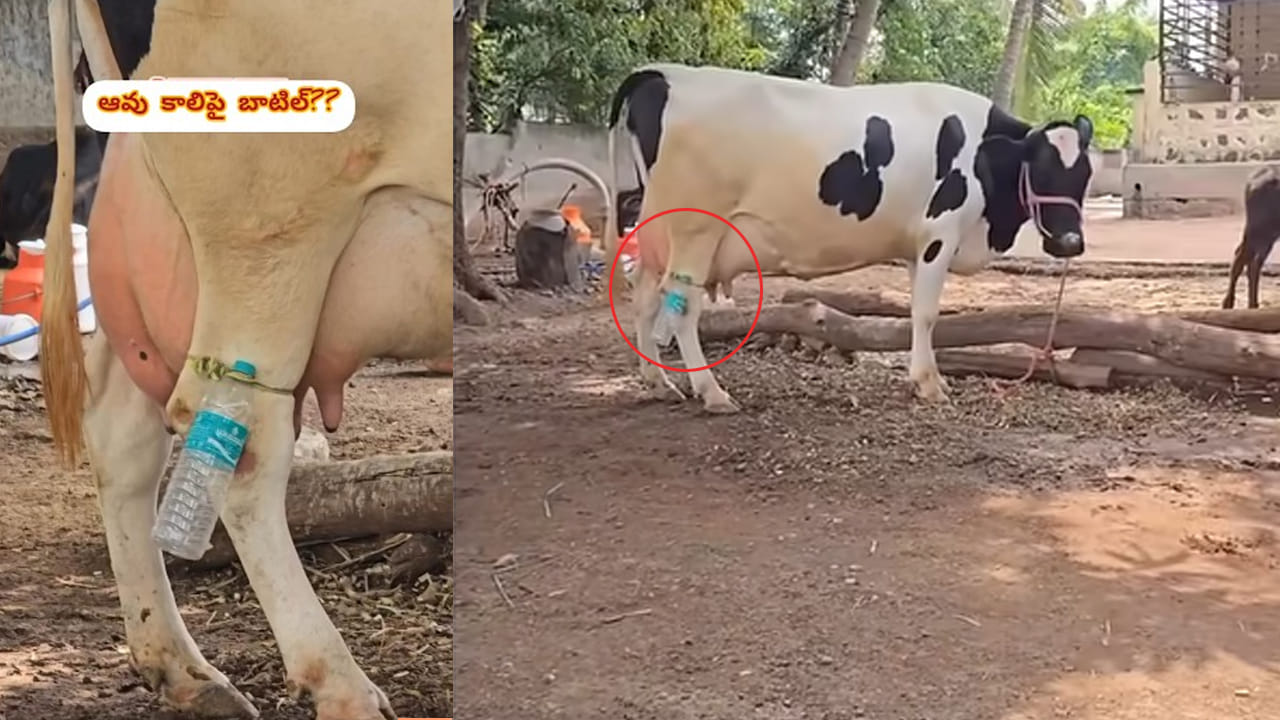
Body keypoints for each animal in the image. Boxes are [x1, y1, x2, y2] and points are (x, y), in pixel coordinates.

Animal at [40, 1, 452, 718]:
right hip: (267, 225)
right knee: (242, 444)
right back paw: (340, 683)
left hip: (161, 235)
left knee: (122, 424)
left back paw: (181, 668)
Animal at [604, 63, 1094, 411]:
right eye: (1042, 168)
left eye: (1086, 174)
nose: (1070, 243)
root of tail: (661, 74)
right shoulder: (941, 231)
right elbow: (927, 314)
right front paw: (930, 384)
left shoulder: (918, 246)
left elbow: (916, 311)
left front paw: (919, 378)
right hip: (696, 227)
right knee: (681, 304)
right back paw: (712, 391)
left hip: (658, 229)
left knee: (644, 295)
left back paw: (659, 382)